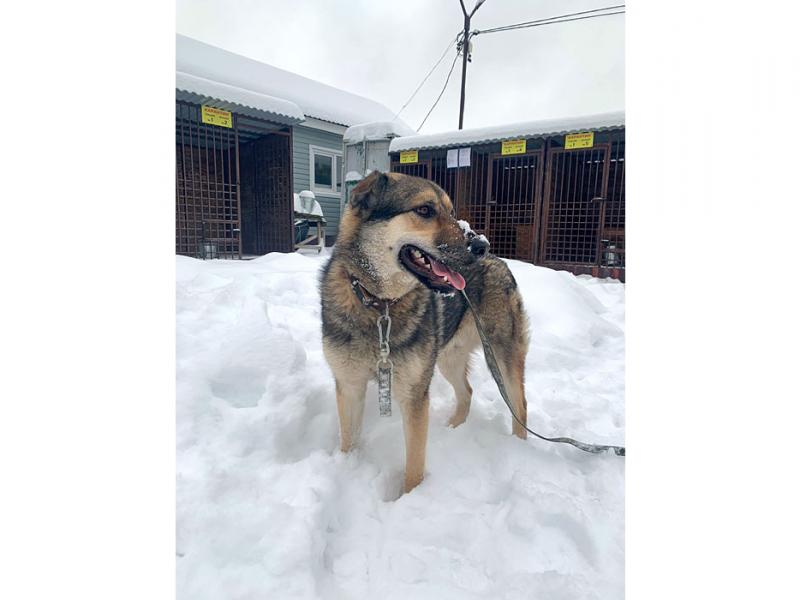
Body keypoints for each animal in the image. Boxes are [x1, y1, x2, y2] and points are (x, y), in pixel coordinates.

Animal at [318, 170, 532, 492]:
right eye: (424, 210)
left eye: (452, 212)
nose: (482, 245)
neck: (380, 305)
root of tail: (500, 262)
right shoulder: (349, 386)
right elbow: (348, 442)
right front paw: (346, 469)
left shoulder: (414, 396)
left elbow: (414, 466)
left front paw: (410, 497)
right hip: (447, 359)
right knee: (467, 392)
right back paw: (454, 428)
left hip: (502, 354)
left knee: (520, 403)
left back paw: (519, 448)